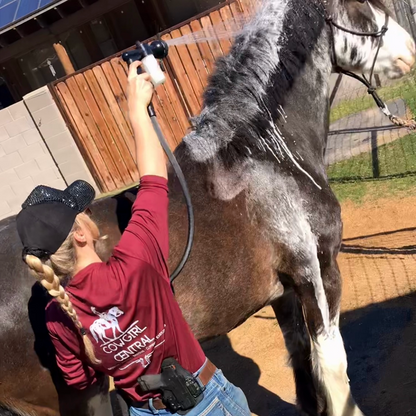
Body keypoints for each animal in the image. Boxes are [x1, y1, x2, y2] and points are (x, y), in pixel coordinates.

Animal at [0, 0, 414, 414]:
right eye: (360, 8)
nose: (410, 50)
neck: (262, 156)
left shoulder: (284, 293)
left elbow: (303, 368)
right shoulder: (318, 273)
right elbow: (332, 368)